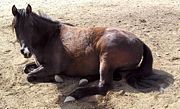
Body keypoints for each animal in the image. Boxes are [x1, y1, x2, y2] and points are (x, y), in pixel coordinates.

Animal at [11, 4, 172, 103]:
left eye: (31, 25)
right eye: (15, 26)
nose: (25, 51)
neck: (50, 37)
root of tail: (140, 41)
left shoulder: (51, 67)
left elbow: (30, 76)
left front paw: (57, 78)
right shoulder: (40, 64)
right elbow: (26, 68)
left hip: (106, 58)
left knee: (104, 85)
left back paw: (74, 95)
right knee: (114, 76)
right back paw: (84, 80)